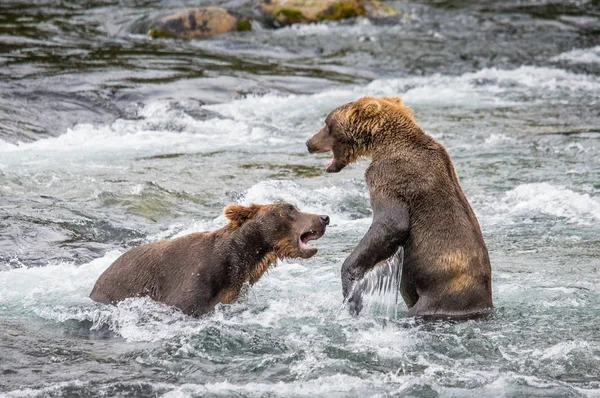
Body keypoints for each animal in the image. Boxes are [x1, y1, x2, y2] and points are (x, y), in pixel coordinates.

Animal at [310, 95, 492, 318]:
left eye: (327, 125)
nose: (309, 143)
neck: (384, 144)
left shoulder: (390, 178)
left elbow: (392, 224)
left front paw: (352, 287)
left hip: (439, 297)